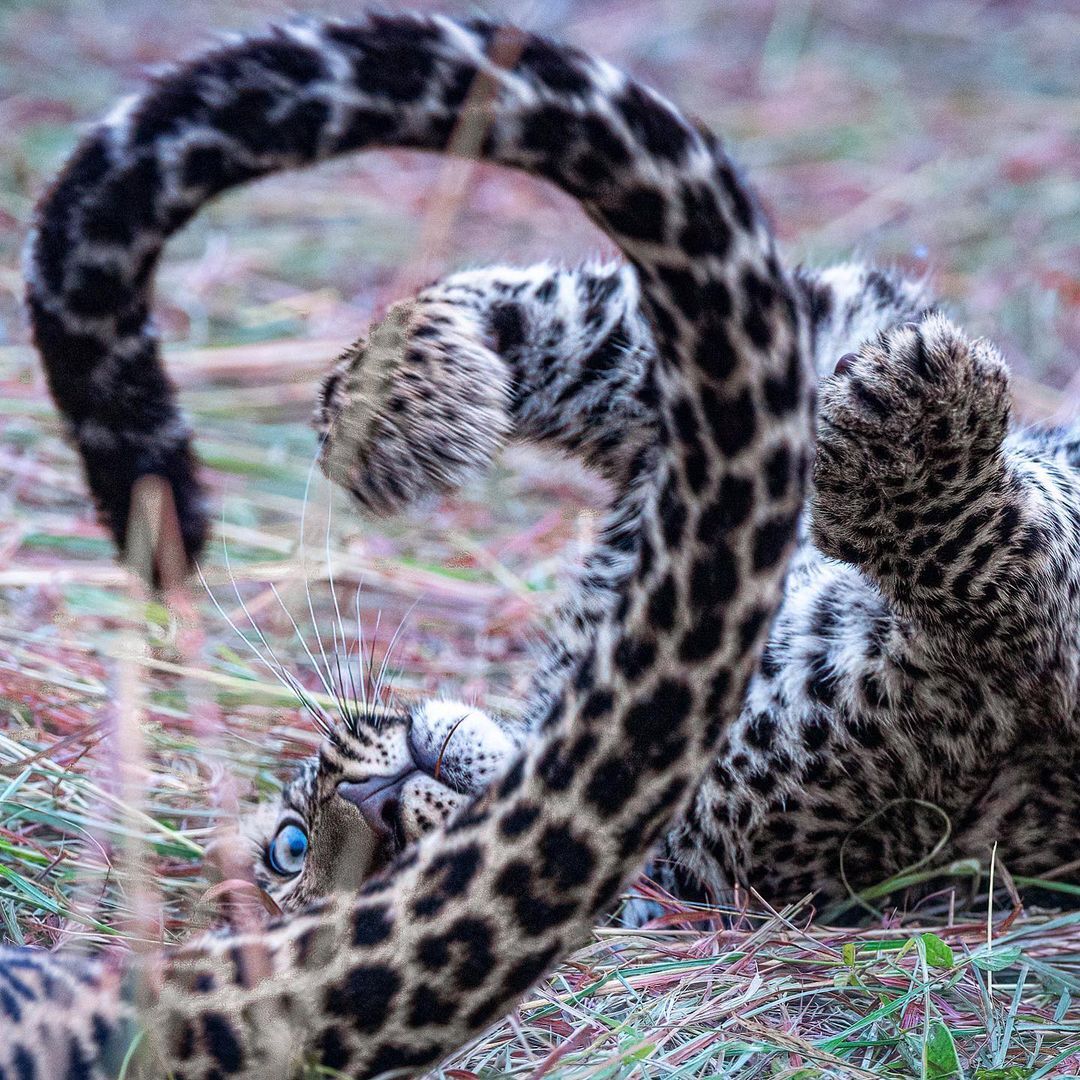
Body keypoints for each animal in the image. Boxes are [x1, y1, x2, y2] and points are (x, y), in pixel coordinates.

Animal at [248, 257, 1080, 924]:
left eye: (288, 845)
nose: (370, 803)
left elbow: (577, 315)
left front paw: (404, 409)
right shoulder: (949, 695)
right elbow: (995, 574)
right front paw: (911, 437)